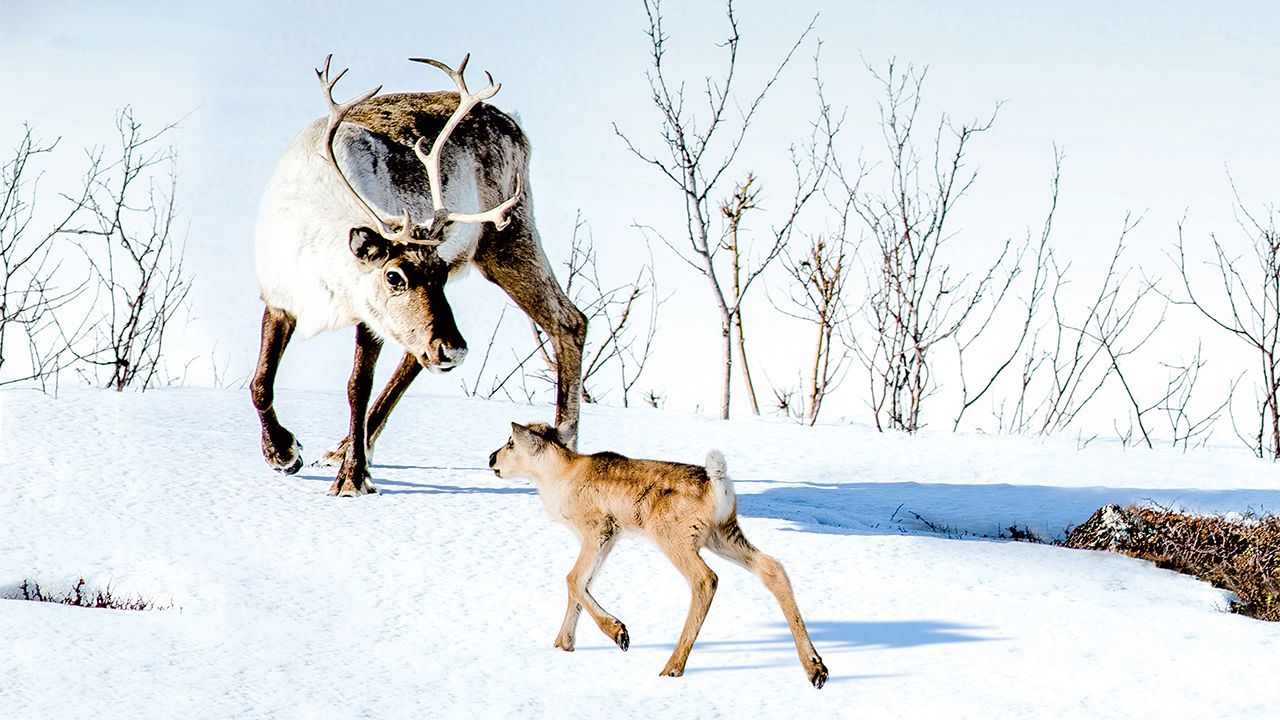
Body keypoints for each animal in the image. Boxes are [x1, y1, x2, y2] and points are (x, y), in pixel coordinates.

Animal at [483, 422, 824, 686]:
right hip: (723, 534)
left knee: (706, 579)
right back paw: (816, 669)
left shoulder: (598, 528)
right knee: (772, 567)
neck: (558, 476)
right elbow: (581, 585)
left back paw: (672, 667)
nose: (490, 458)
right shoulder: (609, 536)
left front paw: (619, 633)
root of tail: (719, 483)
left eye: (511, 442)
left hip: (673, 535)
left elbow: (572, 579)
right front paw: (563, 644)